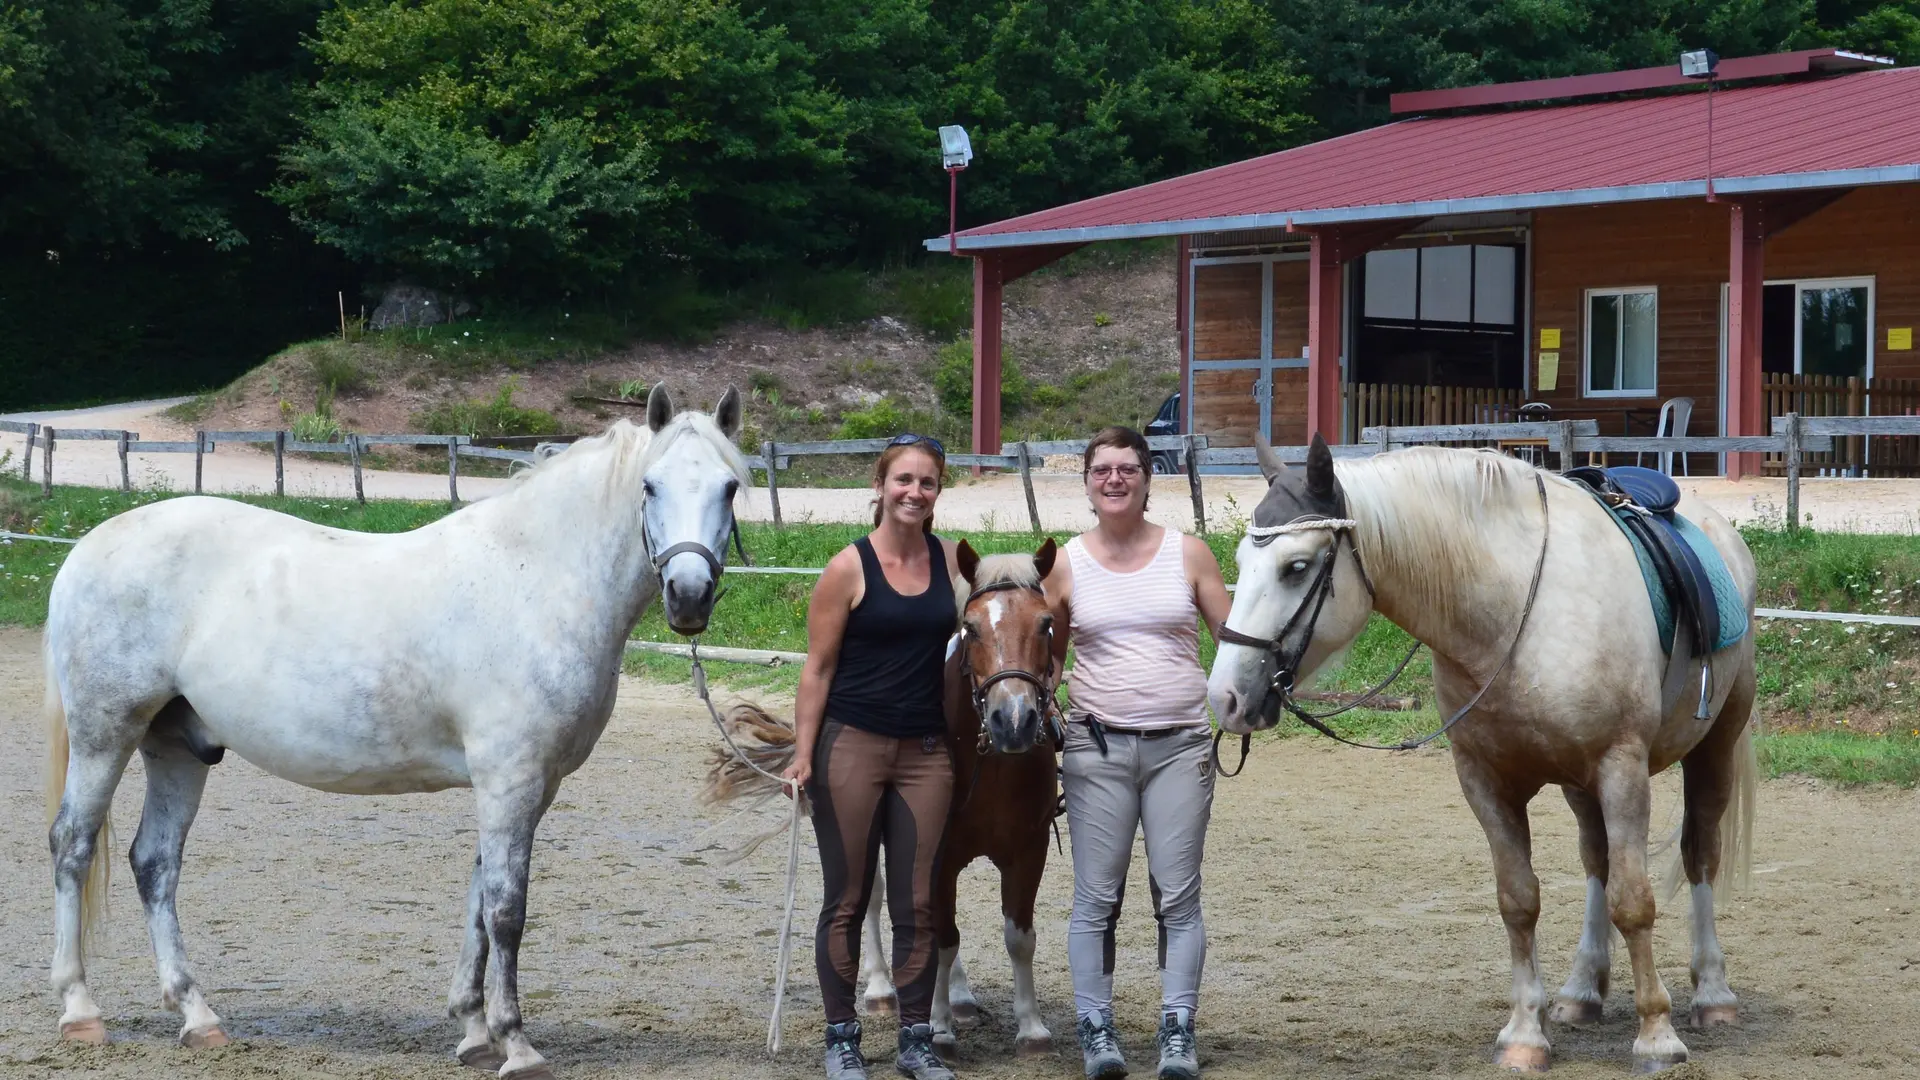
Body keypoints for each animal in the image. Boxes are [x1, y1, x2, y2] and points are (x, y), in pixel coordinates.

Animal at [43, 382, 748, 1068]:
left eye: (730, 486)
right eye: (650, 486)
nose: (689, 597)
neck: (535, 581)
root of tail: (90, 545)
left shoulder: (530, 786)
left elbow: (478, 901)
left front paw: (473, 1031)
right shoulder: (510, 779)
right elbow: (506, 908)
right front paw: (516, 1044)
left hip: (178, 748)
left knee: (155, 862)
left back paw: (197, 1016)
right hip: (106, 735)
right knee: (73, 846)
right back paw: (80, 1011)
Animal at [710, 534, 1067, 1053]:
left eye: (1045, 624)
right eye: (971, 628)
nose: (1014, 720)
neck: (993, 764)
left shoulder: (1028, 849)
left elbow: (1018, 937)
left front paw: (1032, 1028)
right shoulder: (938, 852)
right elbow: (939, 936)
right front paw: (937, 1026)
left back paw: (960, 996)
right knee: (875, 896)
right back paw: (882, 989)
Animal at [1205, 434, 1758, 1068]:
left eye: (1296, 568)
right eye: (1241, 564)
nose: (1225, 697)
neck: (1515, 612)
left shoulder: (1622, 769)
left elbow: (1634, 900)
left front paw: (1657, 1035)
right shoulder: (1485, 781)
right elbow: (1519, 900)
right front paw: (1524, 1033)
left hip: (1713, 747)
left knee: (1700, 855)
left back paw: (1713, 993)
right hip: (1580, 785)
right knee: (1595, 862)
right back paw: (1582, 989)